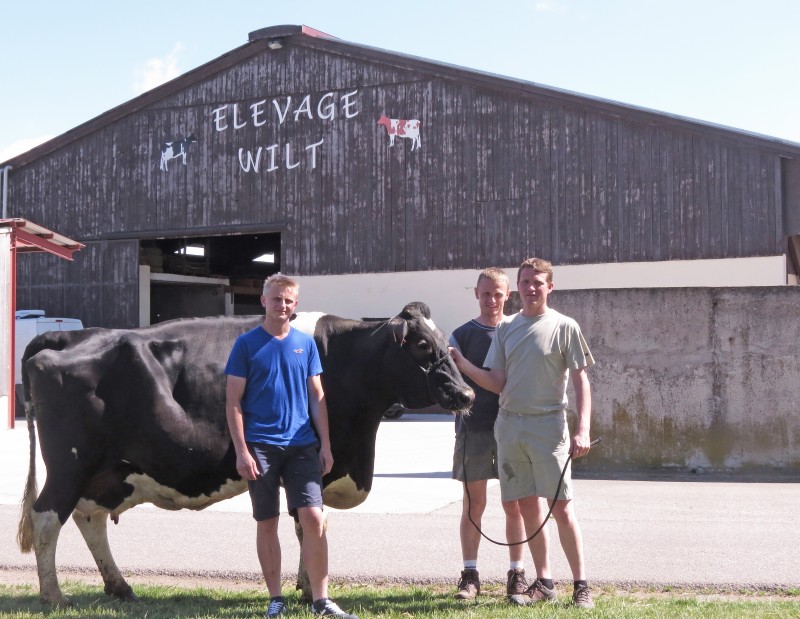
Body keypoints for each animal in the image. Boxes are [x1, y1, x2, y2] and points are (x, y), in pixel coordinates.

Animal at [17, 304, 476, 604]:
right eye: (422, 344)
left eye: (442, 341)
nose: (468, 394)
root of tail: (67, 336)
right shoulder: (314, 464)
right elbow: (308, 523)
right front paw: (308, 589)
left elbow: (308, 523)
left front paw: (304, 585)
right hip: (70, 463)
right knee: (47, 518)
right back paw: (54, 596)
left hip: (108, 471)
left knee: (88, 518)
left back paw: (119, 586)